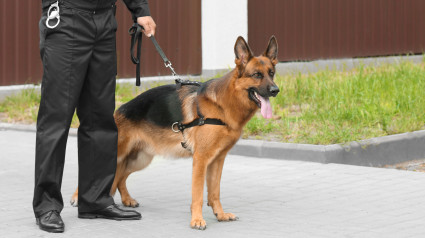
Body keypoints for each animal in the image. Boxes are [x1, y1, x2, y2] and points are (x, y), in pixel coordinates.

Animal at [71, 35, 280, 231]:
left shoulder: (217, 160)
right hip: (119, 154)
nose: (276, 90)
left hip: (139, 159)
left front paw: (220, 215)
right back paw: (77, 197)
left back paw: (127, 200)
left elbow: (215, 192)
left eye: (271, 74)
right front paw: (197, 220)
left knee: (120, 176)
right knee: (100, 173)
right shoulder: (201, 160)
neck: (222, 104)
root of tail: (120, 110)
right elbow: (198, 194)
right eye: (256, 75)